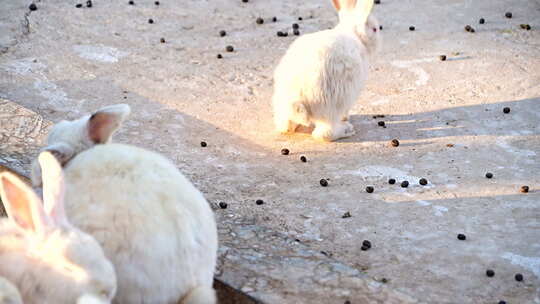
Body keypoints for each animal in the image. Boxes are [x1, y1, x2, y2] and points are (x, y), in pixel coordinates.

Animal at [272, 0, 382, 142]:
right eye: (375, 29)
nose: (380, 42)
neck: (355, 35)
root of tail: (296, 97)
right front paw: (346, 119)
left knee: (286, 126)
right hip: (333, 105)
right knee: (324, 134)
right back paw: (346, 130)